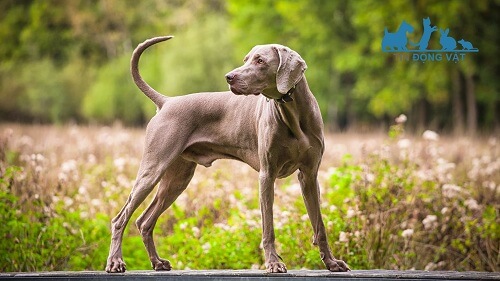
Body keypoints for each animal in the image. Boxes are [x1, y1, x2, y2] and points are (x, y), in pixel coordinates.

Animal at [104, 35, 348, 274]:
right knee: (120, 219)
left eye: (260, 60)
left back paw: (157, 262)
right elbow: (268, 226)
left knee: (144, 221)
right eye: (246, 59)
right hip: (153, 168)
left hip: (177, 179)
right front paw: (273, 263)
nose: (229, 77)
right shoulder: (267, 175)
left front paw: (332, 263)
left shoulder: (309, 175)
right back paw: (115, 262)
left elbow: (319, 225)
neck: (293, 112)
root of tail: (167, 101)